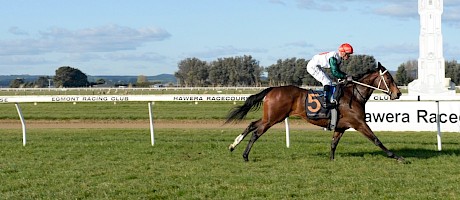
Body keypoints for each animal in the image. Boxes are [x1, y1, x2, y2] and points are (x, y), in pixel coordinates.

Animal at [226, 62, 402, 162]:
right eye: (389, 79)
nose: (398, 93)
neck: (354, 95)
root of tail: (272, 89)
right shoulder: (359, 123)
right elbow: (377, 140)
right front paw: (397, 157)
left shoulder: (341, 127)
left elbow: (333, 144)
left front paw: (331, 160)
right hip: (273, 118)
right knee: (256, 133)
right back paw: (245, 156)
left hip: (270, 117)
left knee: (251, 125)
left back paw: (233, 145)